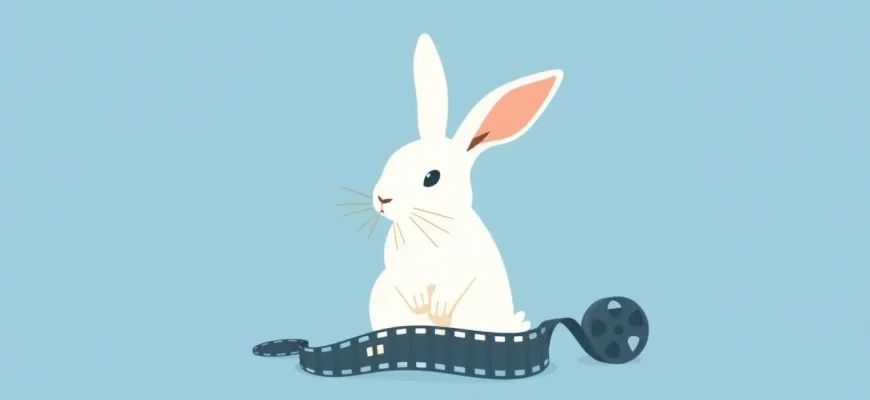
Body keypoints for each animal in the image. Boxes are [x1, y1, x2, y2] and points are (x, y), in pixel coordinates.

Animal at [368, 33, 563, 334]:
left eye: (431, 178)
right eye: (393, 158)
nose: (382, 199)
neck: (427, 224)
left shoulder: (467, 262)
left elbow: (455, 282)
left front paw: (438, 307)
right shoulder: (397, 258)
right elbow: (404, 275)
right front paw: (420, 300)